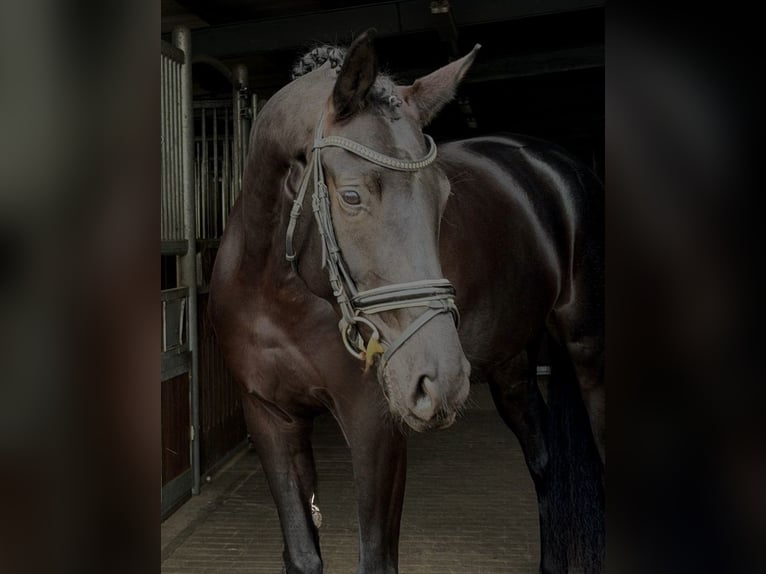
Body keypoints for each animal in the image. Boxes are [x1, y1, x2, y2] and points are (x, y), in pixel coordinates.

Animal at [209, 30, 604, 574]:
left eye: (442, 195)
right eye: (351, 196)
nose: (439, 380)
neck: (278, 295)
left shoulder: (375, 426)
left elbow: (376, 559)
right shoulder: (270, 417)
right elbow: (303, 554)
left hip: (587, 351)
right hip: (511, 367)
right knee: (544, 461)